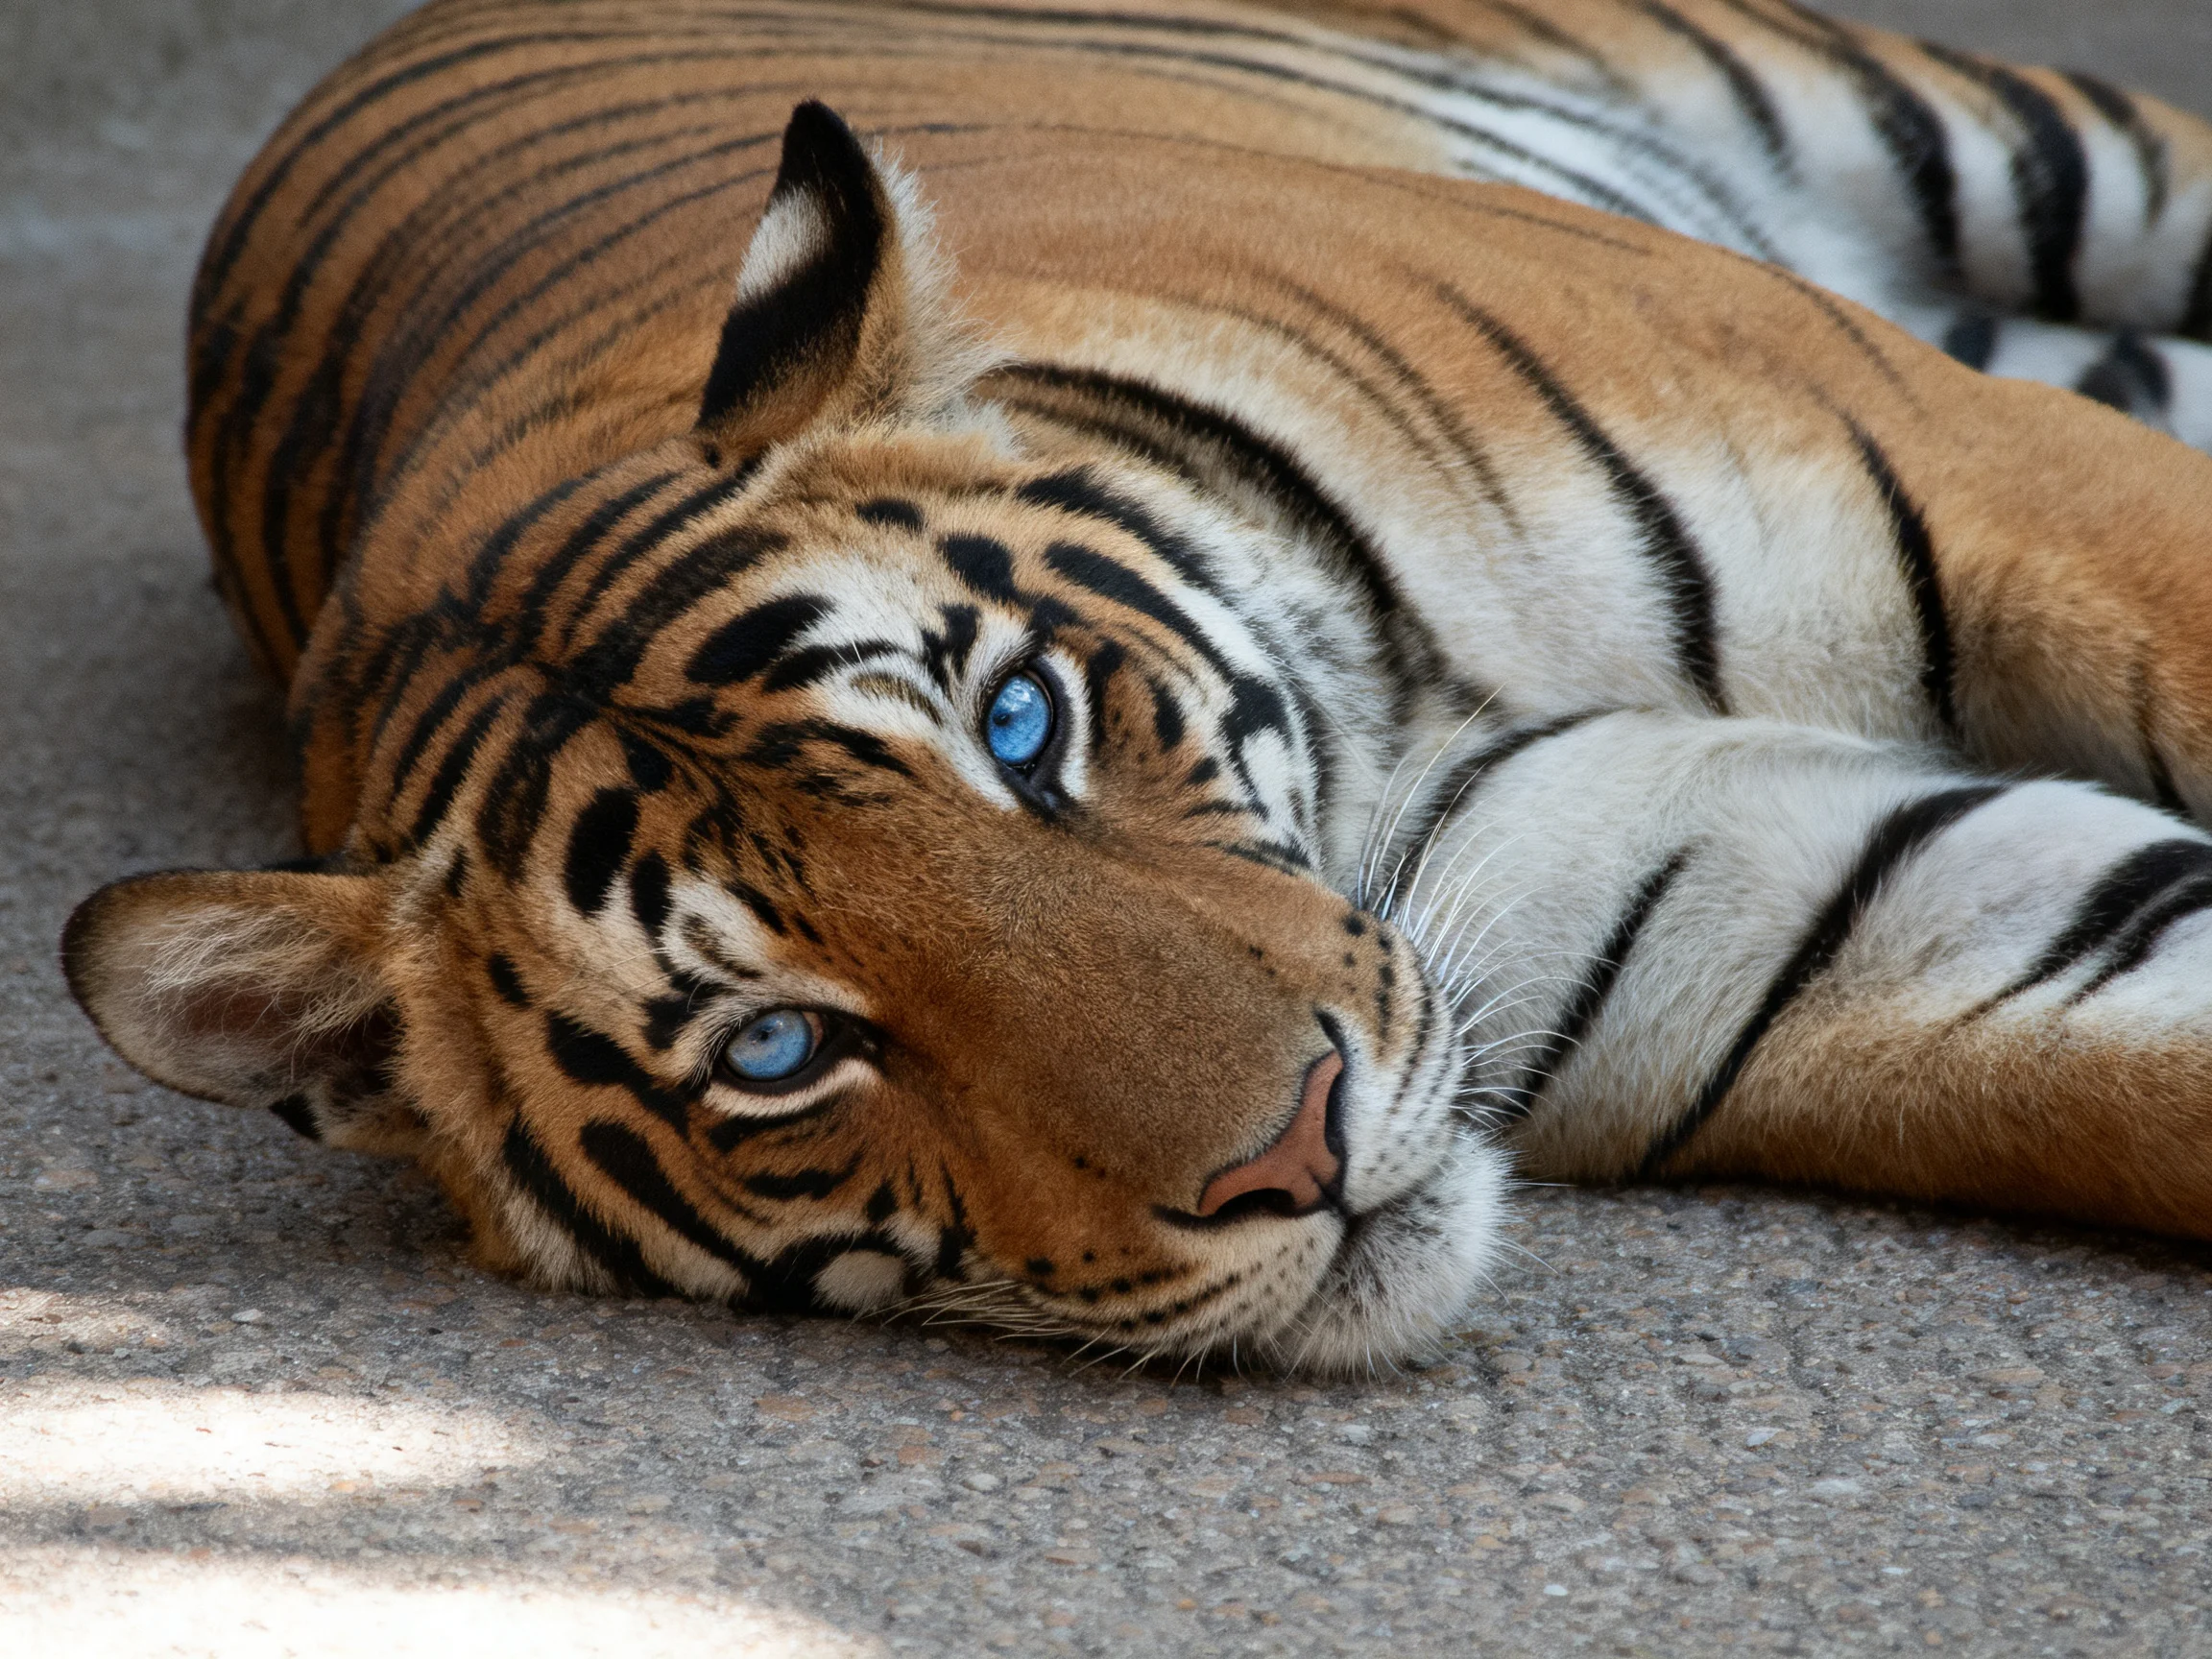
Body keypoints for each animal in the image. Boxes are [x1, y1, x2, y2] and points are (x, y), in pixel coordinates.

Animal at [60, 0, 2212, 1375]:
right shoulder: (1830, 917)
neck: (1378, 751)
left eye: (1023, 726)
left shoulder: (2006, 474)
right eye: (776, 1050)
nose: (1298, 1157)